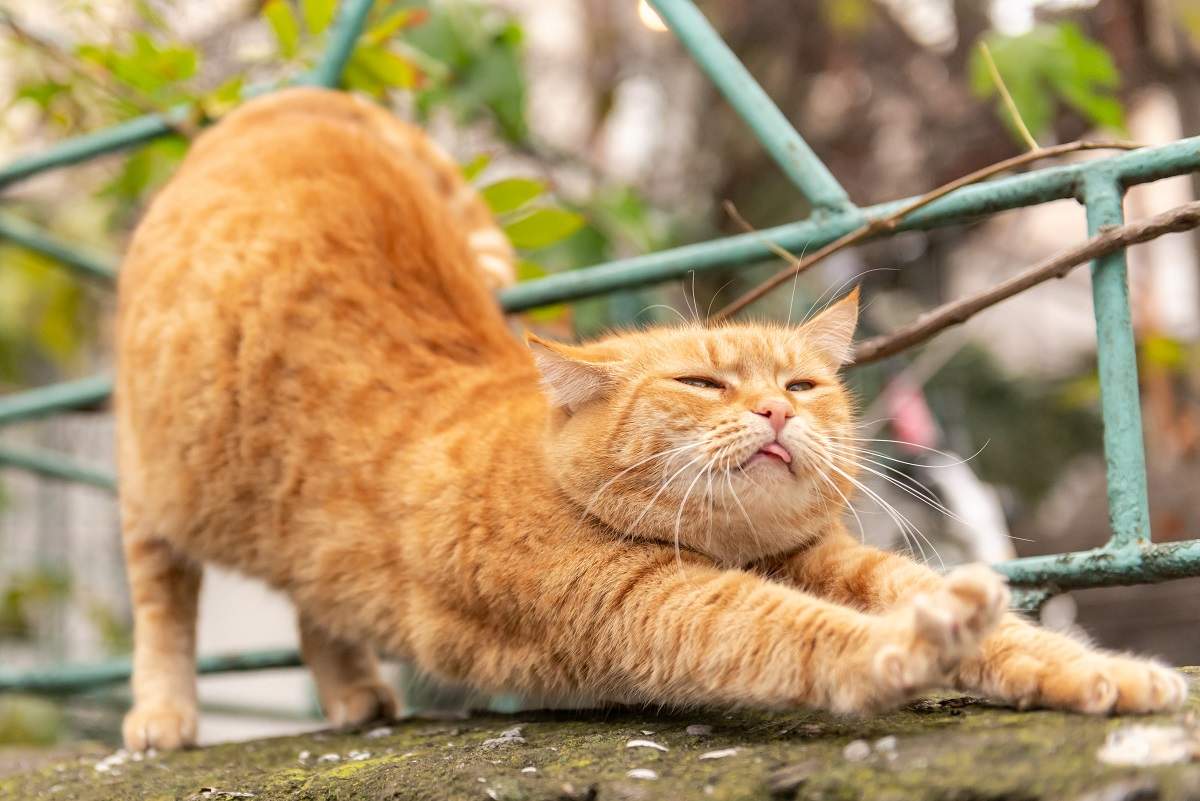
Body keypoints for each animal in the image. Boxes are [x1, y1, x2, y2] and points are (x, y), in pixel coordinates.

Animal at [117, 87, 1185, 753]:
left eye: (801, 386)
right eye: (703, 384)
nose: (771, 408)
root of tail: (296, 105)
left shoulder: (832, 561)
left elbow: (1000, 634)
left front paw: (1112, 676)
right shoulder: (644, 601)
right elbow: (797, 634)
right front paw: (914, 648)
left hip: (305, 538)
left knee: (316, 600)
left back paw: (351, 695)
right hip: (159, 482)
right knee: (163, 596)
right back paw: (163, 715)